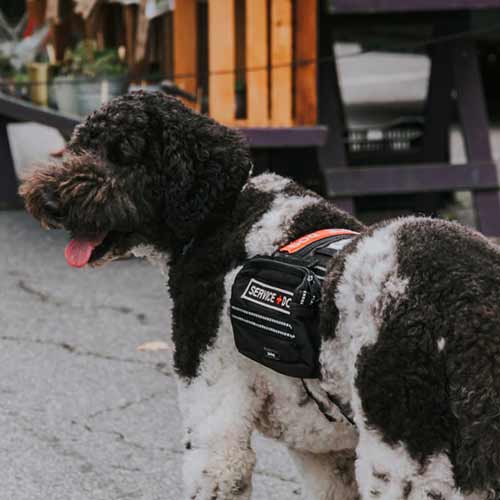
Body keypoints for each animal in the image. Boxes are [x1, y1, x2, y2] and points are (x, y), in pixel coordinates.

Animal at [21, 92, 500, 498]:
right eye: (80, 145)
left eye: (124, 155)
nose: (48, 200)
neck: (221, 216)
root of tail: (473, 308)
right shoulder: (325, 452)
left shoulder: (216, 423)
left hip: (405, 461)